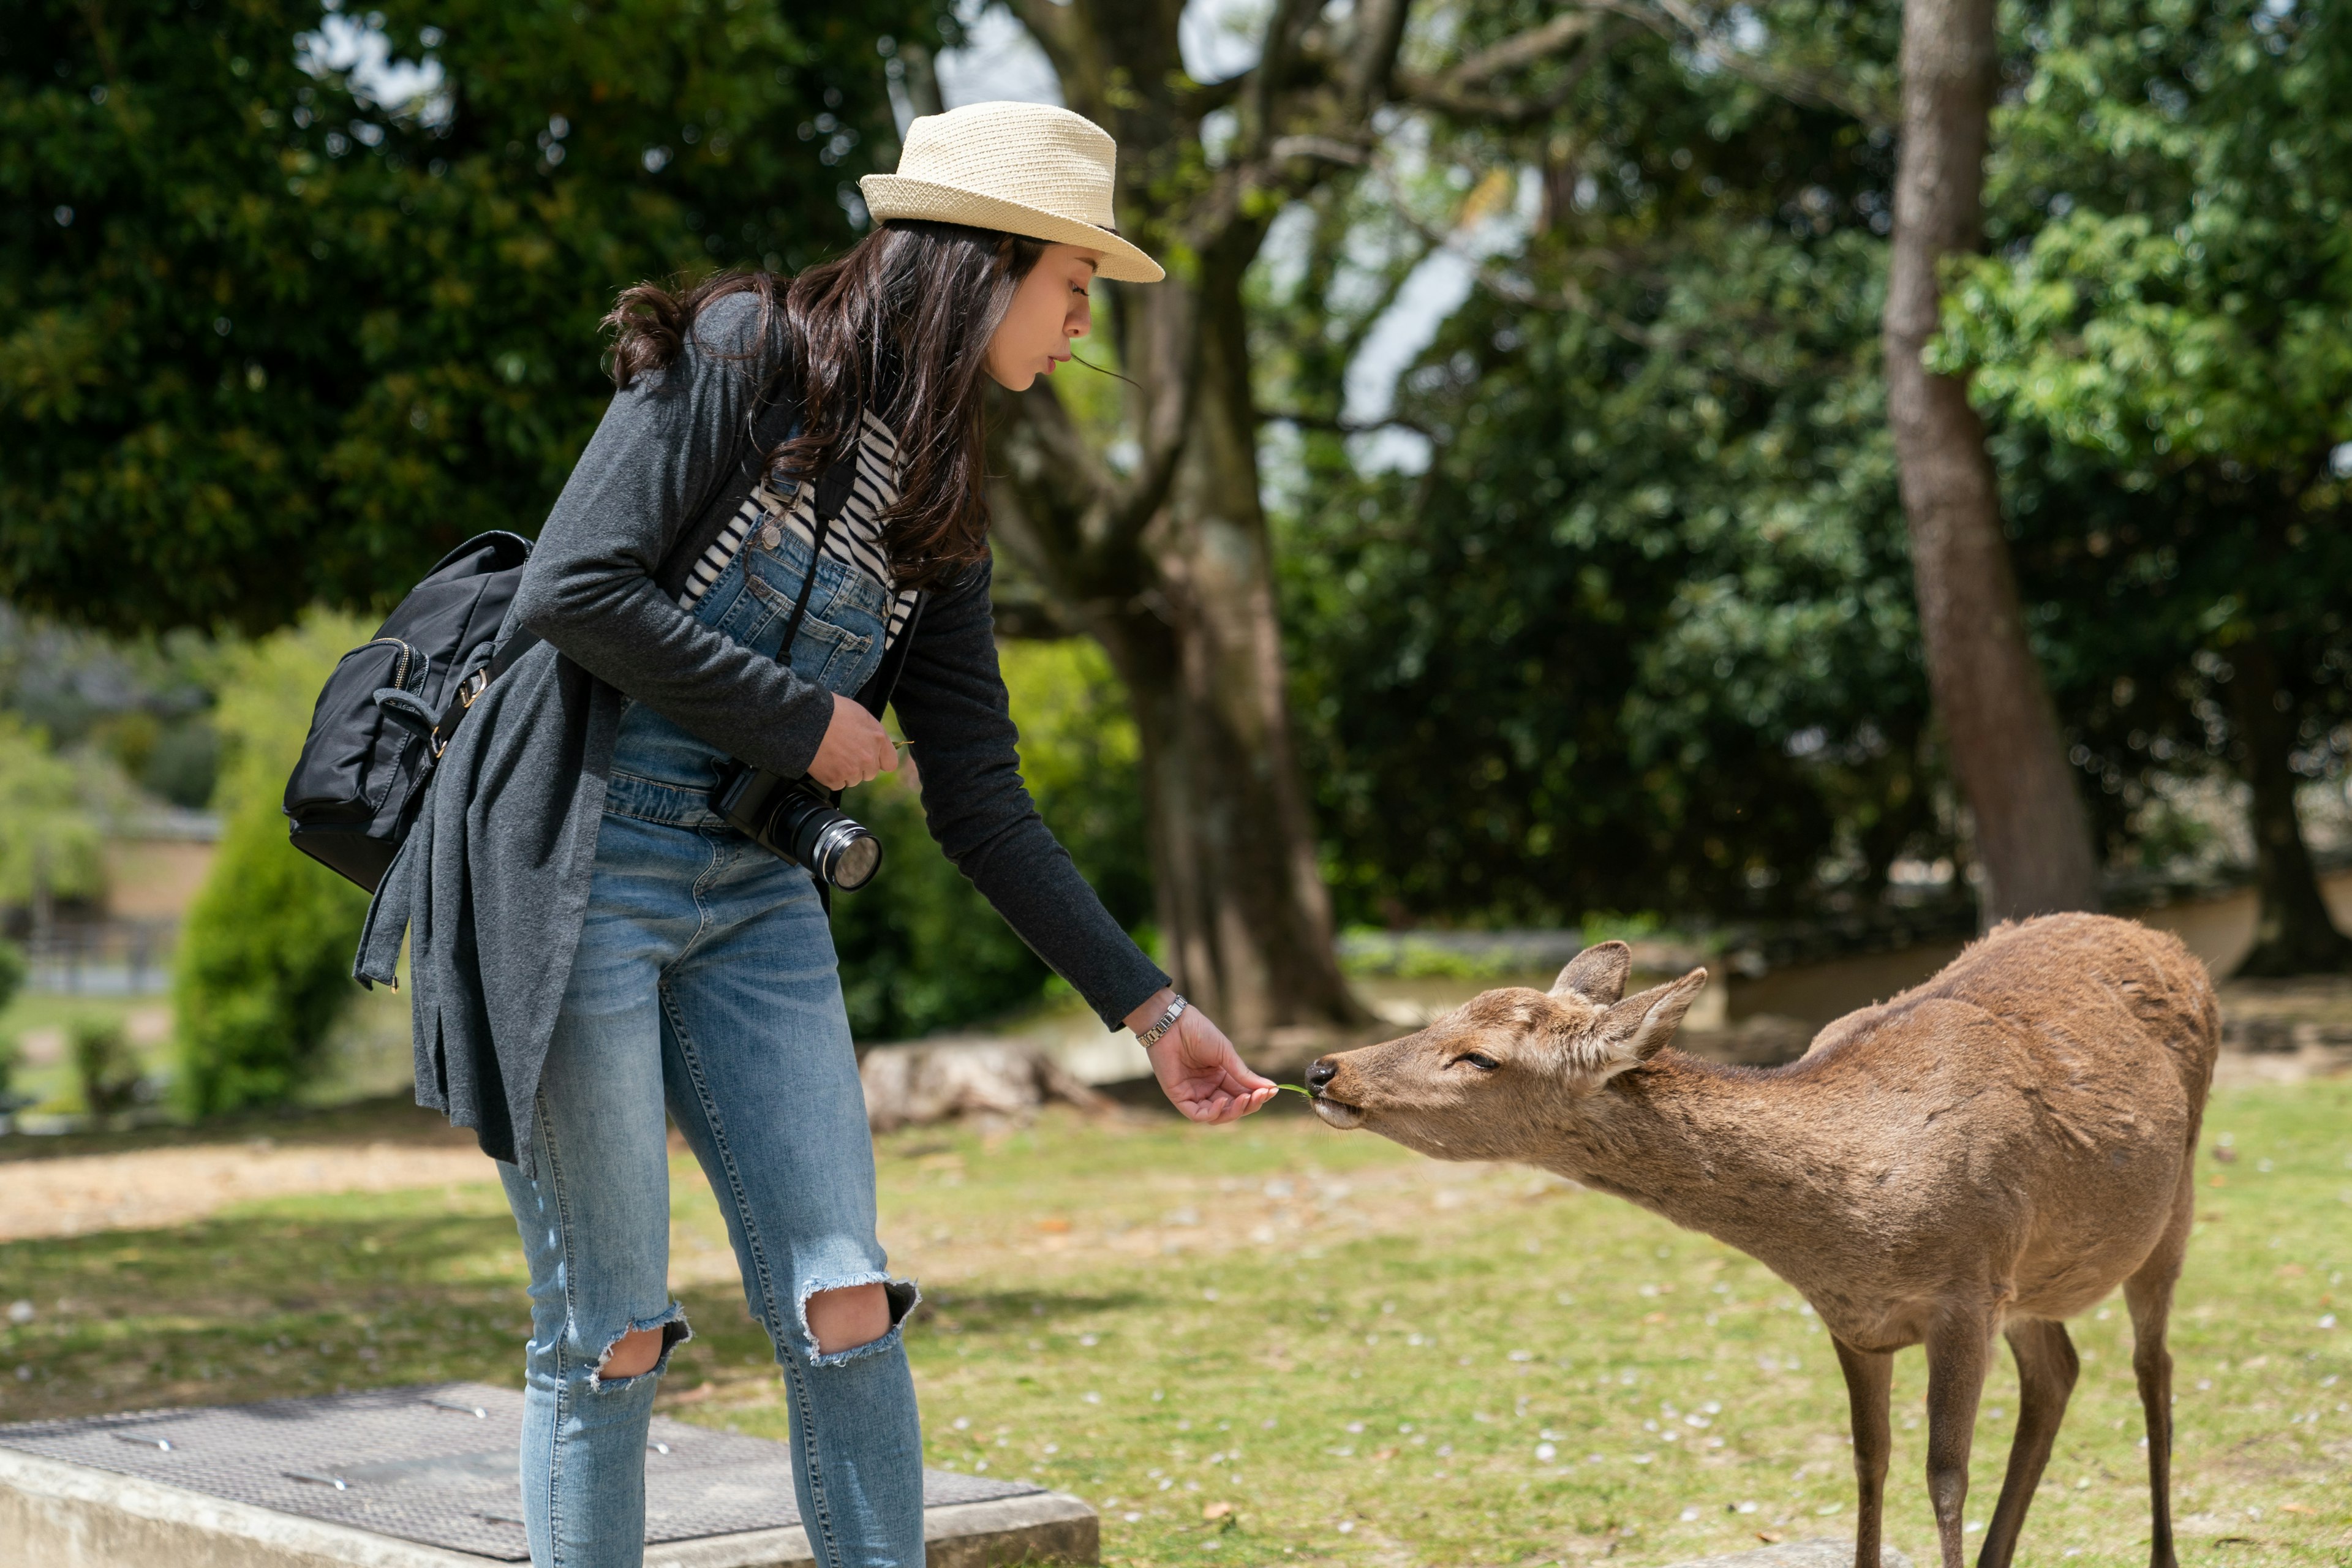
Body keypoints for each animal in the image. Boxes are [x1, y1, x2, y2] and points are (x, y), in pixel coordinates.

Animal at [1317, 912, 2211, 1568]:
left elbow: (1945, 1475)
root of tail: (2168, 939)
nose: (1327, 1070)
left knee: (2153, 1365)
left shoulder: (1966, 1291)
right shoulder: (1855, 1315)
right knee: (2059, 1370)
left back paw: (2162, 1551)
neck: (1850, 1222)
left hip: (2172, 1206)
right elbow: (1869, 1461)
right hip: (2035, 1282)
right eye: (1446, 1011)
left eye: (1481, 1057)